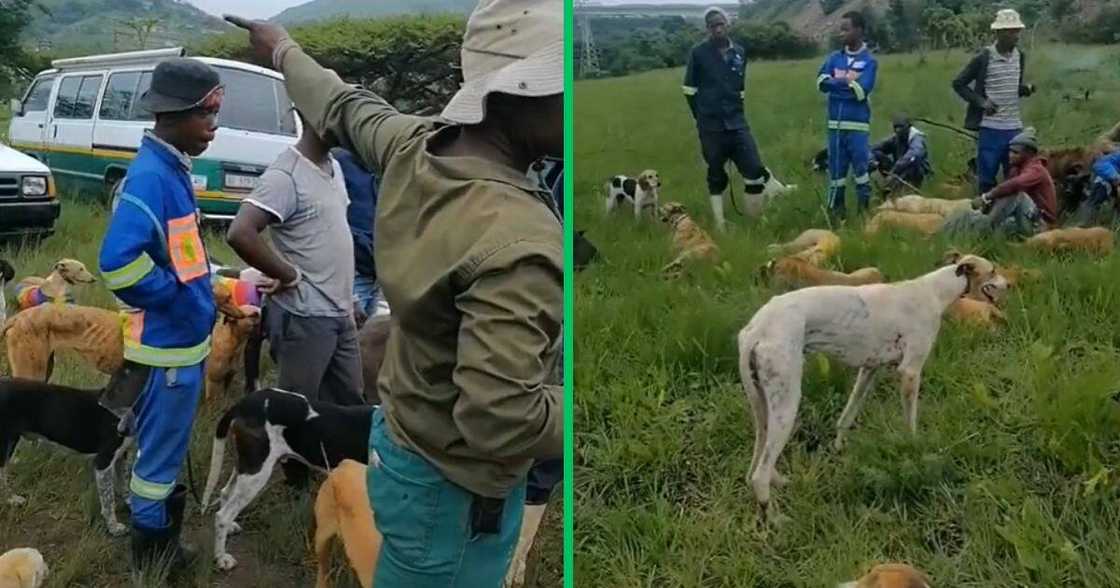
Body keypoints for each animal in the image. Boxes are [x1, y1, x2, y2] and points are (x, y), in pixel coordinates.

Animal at [199, 389, 374, 568]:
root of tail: (243, 404)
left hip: (246, 466)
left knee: (225, 492)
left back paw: (230, 529)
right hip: (256, 474)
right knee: (222, 516)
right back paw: (221, 558)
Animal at [739, 254, 1003, 519]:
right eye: (992, 270)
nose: (1009, 284)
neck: (934, 290)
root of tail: (755, 328)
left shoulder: (869, 370)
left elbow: (846, 416)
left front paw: (839, 448)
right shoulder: (910, 372)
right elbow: (910, 424)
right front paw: (913, 448)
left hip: (762, 405)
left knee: (758, 463)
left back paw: (779, 483)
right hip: (787, 402)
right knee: (760, 474)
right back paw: (776, 518)